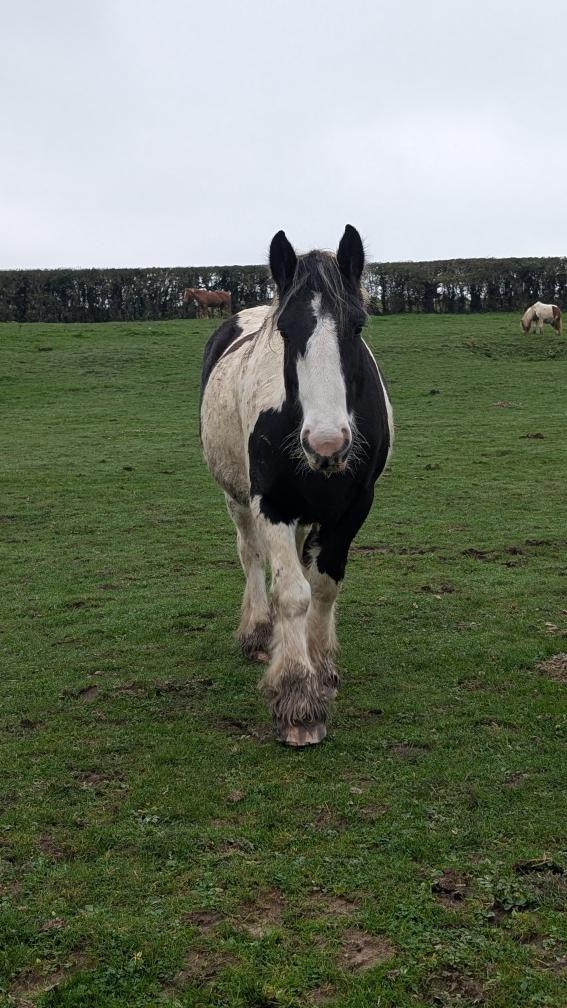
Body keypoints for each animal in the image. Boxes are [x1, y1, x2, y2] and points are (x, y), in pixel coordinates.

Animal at [200, 226, 393, 746]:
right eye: (285, 331)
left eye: (357, 327)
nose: (327, 444)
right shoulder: (273, 503)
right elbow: (292, 592)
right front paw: (297, 701)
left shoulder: (354, 507)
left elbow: (323, 586)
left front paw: (321, 669)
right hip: (237, 498)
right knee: (251, 557)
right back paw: (257, 632)